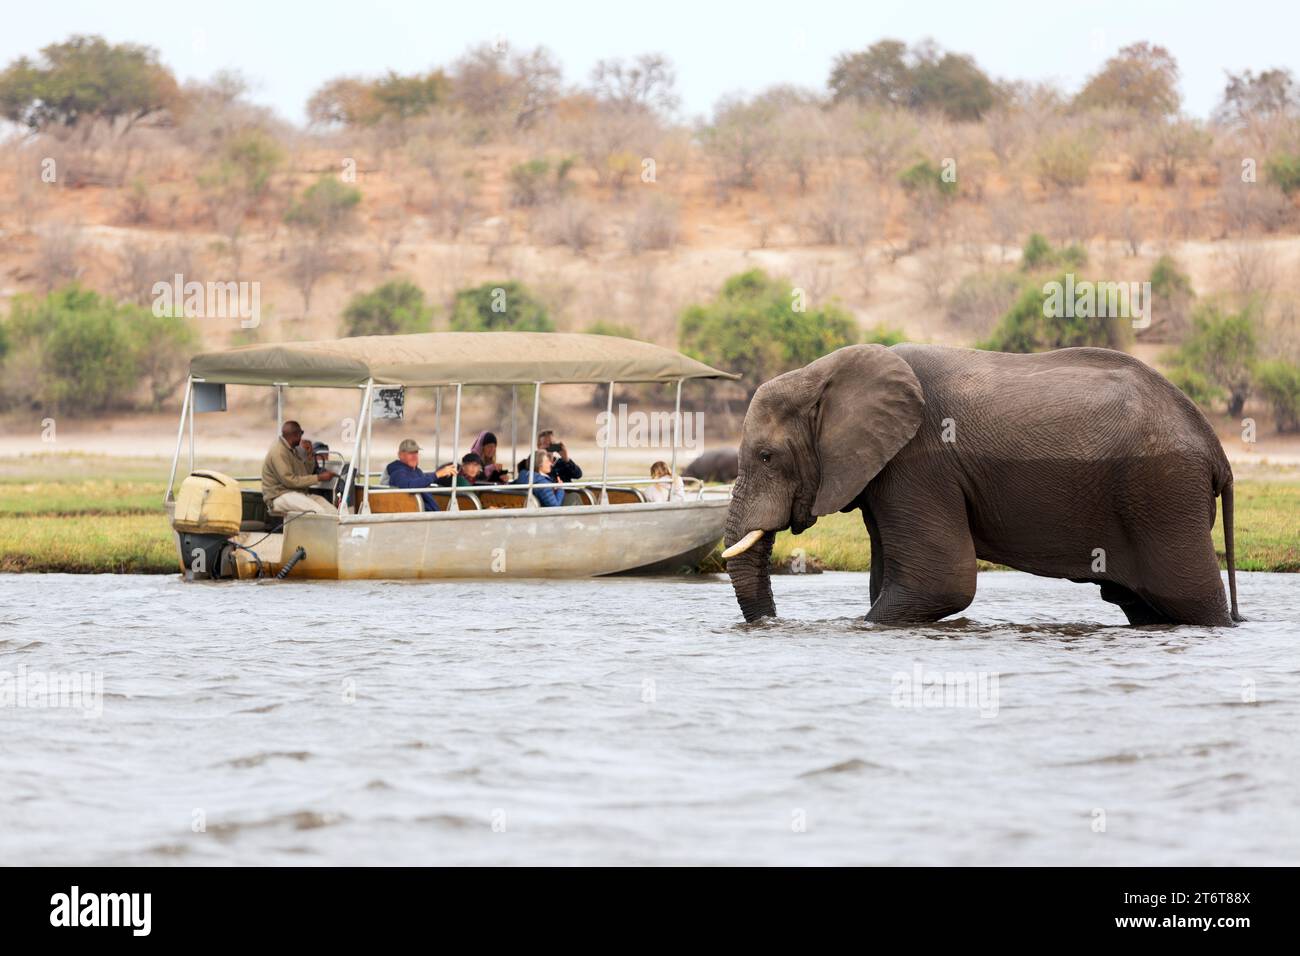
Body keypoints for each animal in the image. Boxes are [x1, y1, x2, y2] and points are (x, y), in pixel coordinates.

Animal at [728, 343, 1242, 629]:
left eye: (767, 457)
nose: (772, 624)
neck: (822, 374)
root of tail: (1216, 450)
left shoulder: (918, 463)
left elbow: (942, 583)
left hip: (1163, 493)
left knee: (1190, 598)